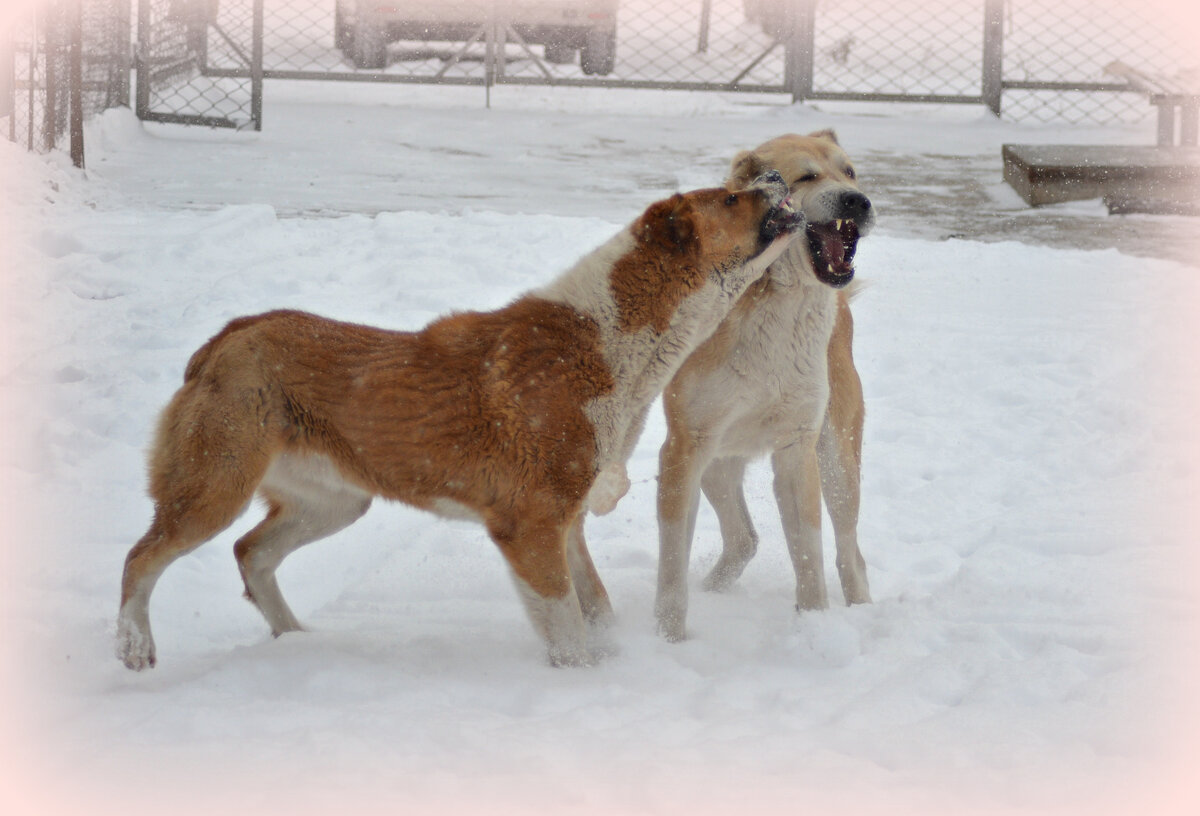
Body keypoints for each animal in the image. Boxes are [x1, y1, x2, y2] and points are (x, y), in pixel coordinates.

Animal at [117, 171, 801, 667]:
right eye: (732, 196)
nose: (774, 174)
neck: (611, 340)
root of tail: (226, 338)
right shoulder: (529, 528)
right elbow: (569, 627)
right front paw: (581, 681)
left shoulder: (567, 524)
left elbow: (598, 610)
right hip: (216, 488)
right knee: (142, 557)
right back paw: (134, 645)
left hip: (336, 502)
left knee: (250, 553)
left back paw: (298, 641)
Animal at [657, 132, 873, 643]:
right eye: (807, 176)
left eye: (850, 172)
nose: (857, 201)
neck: (775, 300)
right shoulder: (682, 449)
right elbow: (672, 565)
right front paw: (667, 640)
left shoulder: (797, 449)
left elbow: (810, 556)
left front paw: (814, 624)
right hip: (715, 464)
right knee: (743, 539)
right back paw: (712, 590)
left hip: (837, 462)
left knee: (849, 553)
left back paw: (861, 613)